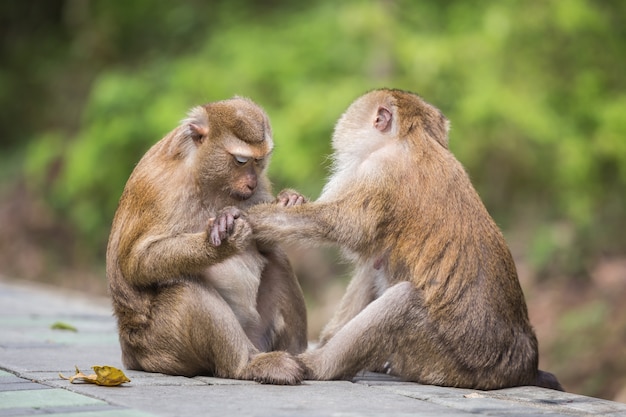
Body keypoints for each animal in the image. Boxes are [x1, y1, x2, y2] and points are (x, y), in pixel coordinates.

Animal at [106, 95, 308, 384]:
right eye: (241, 160)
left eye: (259, 161)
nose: (251, 183)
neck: (203, 176)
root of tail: (130, 355)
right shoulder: (161, 187)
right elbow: (137, 263)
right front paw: (222, 242)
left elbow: (266, 242)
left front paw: (288, 200)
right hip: (161, 349)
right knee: (186, 288)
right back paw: (247, 364)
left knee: (277, 260)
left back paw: (299, 357)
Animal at [246, 88, 564, 390]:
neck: (415, 138)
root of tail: (522, 365)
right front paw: (287, 202)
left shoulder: (380, 170)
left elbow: (345, 224)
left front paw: (258, 219)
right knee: (378, 264)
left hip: (443, 361)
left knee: (403, 300)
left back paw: (317, 365)